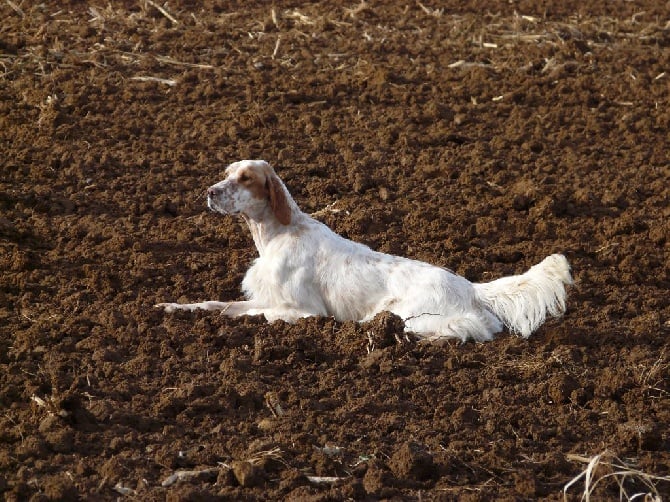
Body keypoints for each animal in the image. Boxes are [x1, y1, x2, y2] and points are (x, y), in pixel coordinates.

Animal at [156, 161, 572, 342]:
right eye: (227, 174)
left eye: (245, 178)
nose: (210, 192)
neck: (278, 233)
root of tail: (470, 286)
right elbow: (215, 305)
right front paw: (171, 307)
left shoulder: (304, 311)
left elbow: (250, 315)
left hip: (405, 314)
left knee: (463, 329)